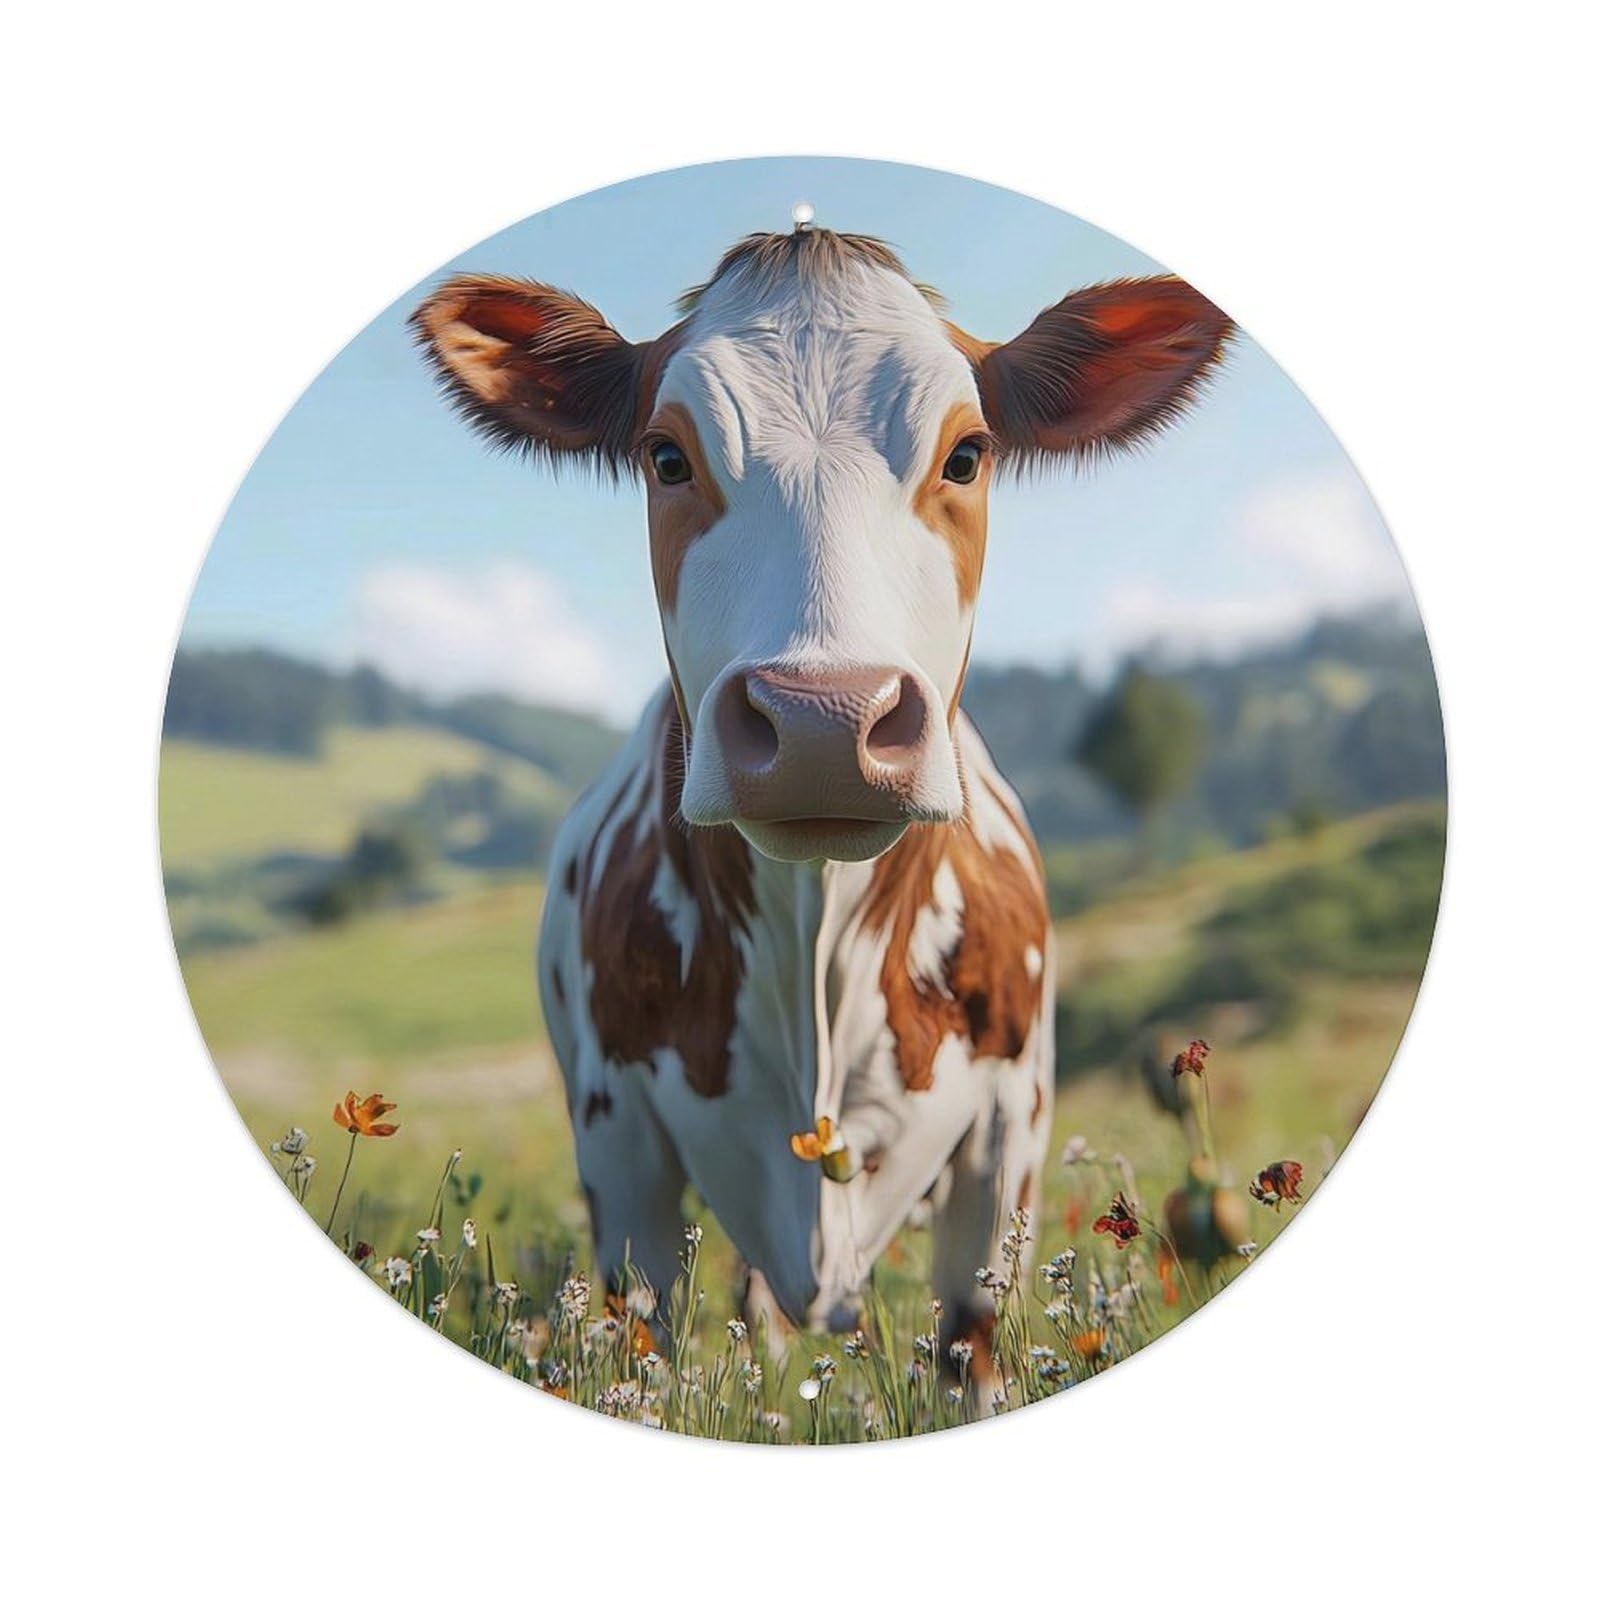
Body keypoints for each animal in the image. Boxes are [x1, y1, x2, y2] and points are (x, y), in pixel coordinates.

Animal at [412, 225, 1231, 1372]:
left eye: (967, 453)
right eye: (667, 456)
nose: (821, 725)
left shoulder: (1010, 1130)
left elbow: (970, 1340)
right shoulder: (618, 1142)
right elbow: (644, 1339)